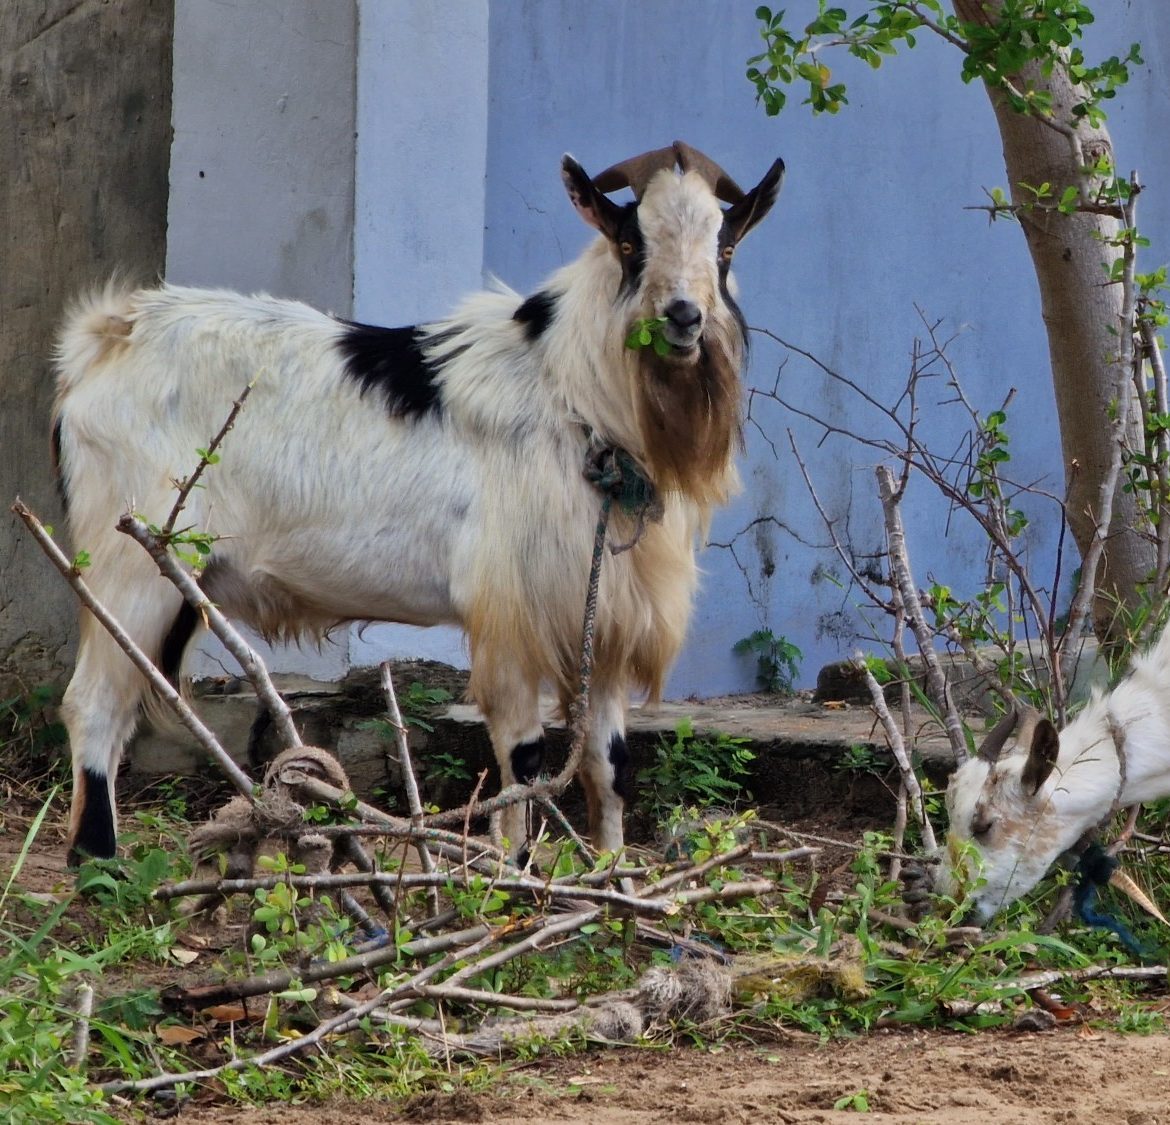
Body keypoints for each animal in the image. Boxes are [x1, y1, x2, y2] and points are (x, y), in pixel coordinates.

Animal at [52, 141, 784, 863]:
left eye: (724, 248)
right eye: (632, 242)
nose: (683, 317)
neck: (569, 391)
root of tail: (106, 337)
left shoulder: (602, 624)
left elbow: (609, 764)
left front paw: (611, 875)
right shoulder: (509, 615)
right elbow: (524, 760)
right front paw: (514, 876)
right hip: (131, 561)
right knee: (93, 702)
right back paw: (97, 862)